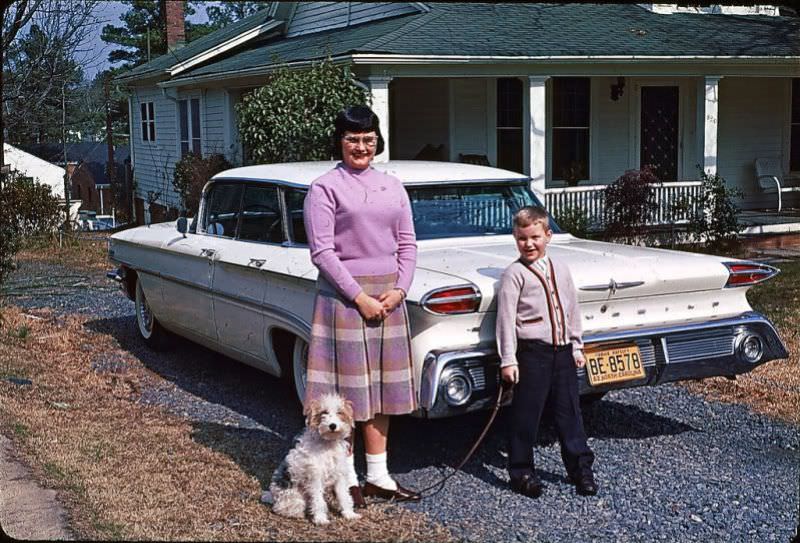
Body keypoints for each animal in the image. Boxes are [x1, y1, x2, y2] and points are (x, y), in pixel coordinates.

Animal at [264, 394, 360, 524]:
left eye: (339, 412)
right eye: (324, 412)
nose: (332, 426)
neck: (328, 444)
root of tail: (272, 496)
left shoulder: (339, 476)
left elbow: (344, 496)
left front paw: (349, 514)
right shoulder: (315, 478)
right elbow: (318, 500)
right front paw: (320, 519)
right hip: (293, 496)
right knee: (281, 508)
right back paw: (296, 514)